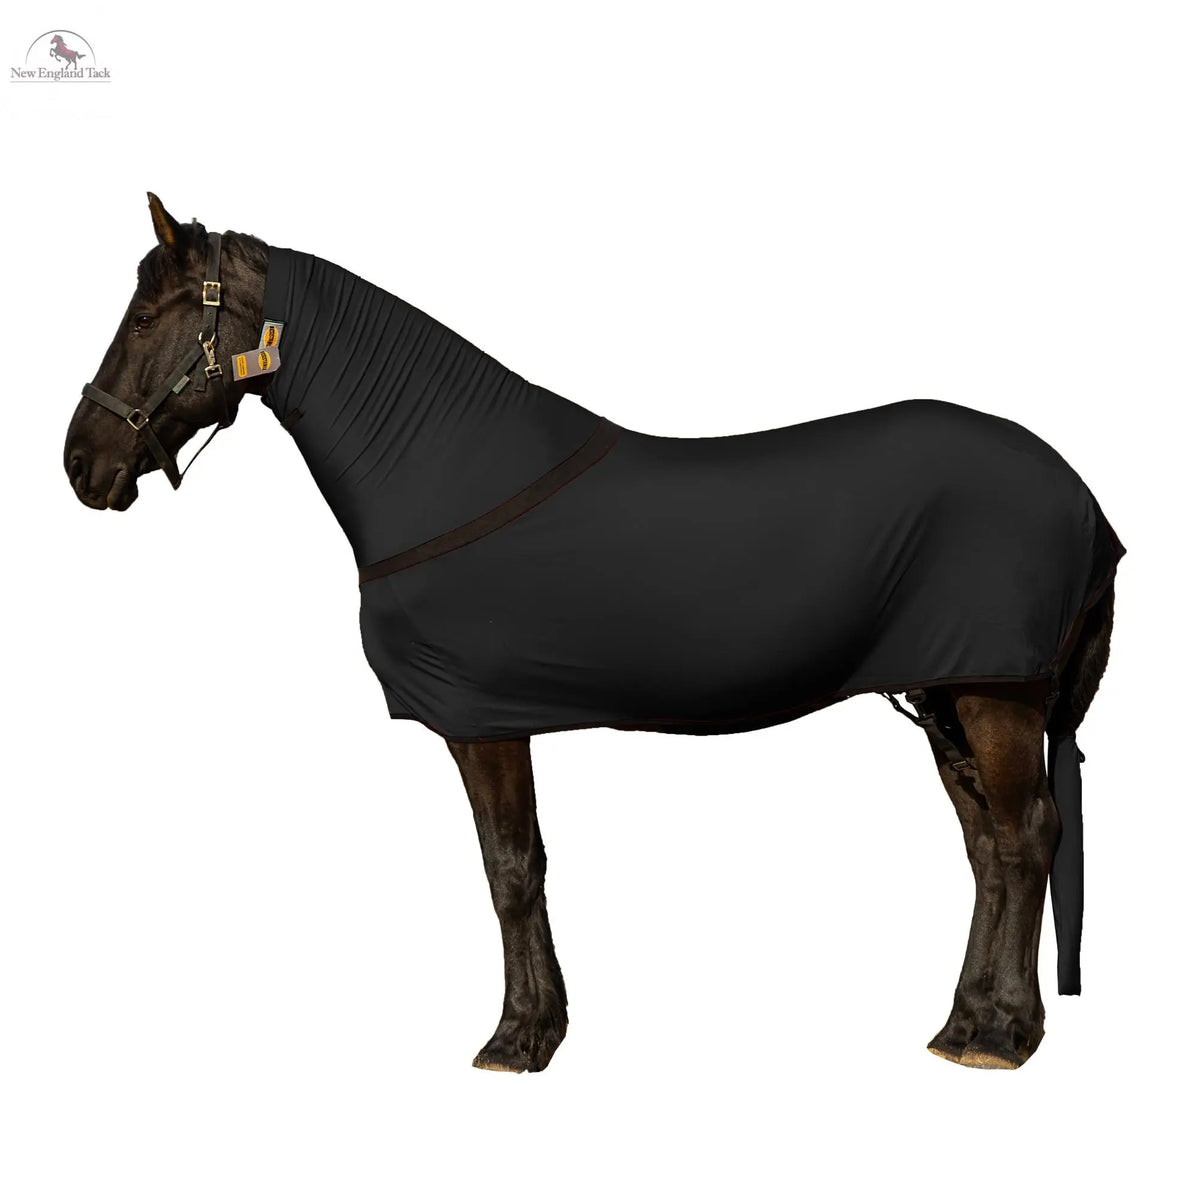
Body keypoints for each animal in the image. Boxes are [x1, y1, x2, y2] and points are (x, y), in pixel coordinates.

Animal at [63, 193, 1122, 1073]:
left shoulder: (481, 721)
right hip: (949, 692)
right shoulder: (500, 719)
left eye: (146, 319)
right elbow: (523, 864)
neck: (445, 471)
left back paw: (1002, 1036)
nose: (81, 461)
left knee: (1026, 836)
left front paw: (517, 1038)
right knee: (986, 846)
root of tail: (1084, 499)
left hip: (998, 694)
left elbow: (508, 869)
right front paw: (543, 1025)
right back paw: (963, 1023)